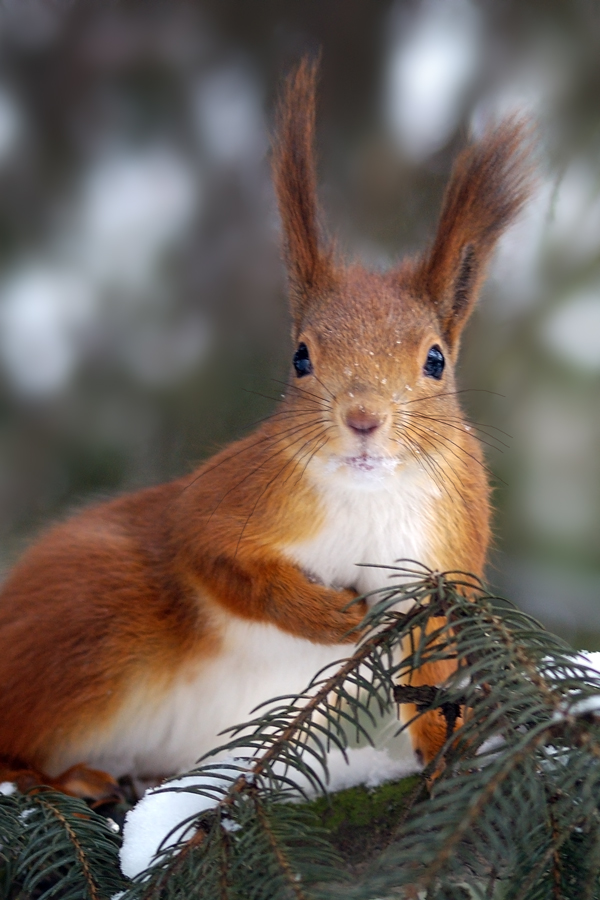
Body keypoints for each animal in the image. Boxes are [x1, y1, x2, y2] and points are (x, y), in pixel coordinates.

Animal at [0, 59, 528, 792]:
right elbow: (211, 555)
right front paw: (323, 615)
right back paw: (63, 780)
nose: (363, 418)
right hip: (92, 621)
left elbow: (432, 660)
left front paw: (446, 745)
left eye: (435, 359)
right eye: (300, 356)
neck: (367, 495)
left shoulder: (441, 569)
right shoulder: (226, 498)